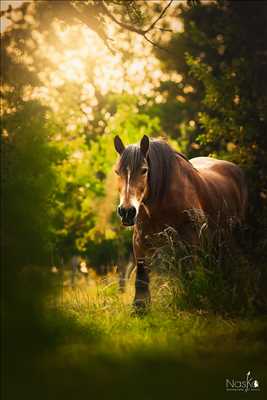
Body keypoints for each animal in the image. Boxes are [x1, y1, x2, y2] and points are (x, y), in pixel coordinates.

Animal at [113, 134, 249, 310]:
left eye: (144, 170)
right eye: (117, 171)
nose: (127, 211)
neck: (162, 197)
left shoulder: (191, 241)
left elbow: (190, 273)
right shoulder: (140, 240)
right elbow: (142, 276)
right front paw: (140, 308)